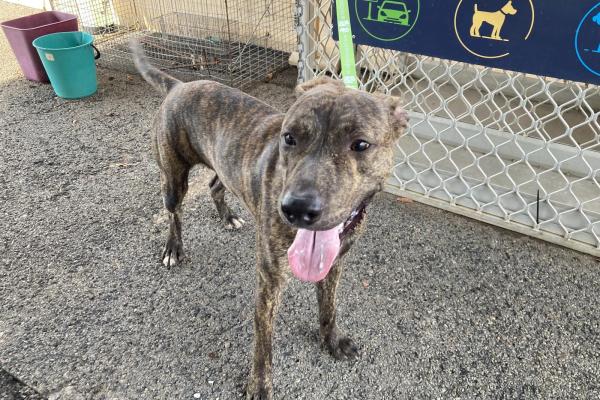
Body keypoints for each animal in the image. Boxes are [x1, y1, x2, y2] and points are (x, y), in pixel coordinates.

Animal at [131, 39, 408, 398]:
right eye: (289, 137)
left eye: (360, 144)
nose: (296, 208)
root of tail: (180, 85)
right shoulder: (269, 282)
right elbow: (264, 342)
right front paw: (260, 384)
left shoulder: (334, 265)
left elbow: (329, 307)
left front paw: (331, 340)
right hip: (173, 178)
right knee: (173, 211)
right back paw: (173, 248)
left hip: (225, 165)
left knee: (214, 186)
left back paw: (228, 216)